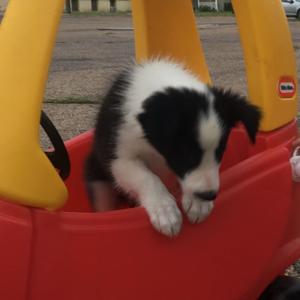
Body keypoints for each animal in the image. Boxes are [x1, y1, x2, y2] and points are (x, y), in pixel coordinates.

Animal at [84, 58, 260, 237]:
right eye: (185, 155)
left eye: (220, 152)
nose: (208, 195)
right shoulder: (118, 158)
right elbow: (147, 177)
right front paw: (165, 210)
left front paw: (198, 204)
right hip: (98, 182)